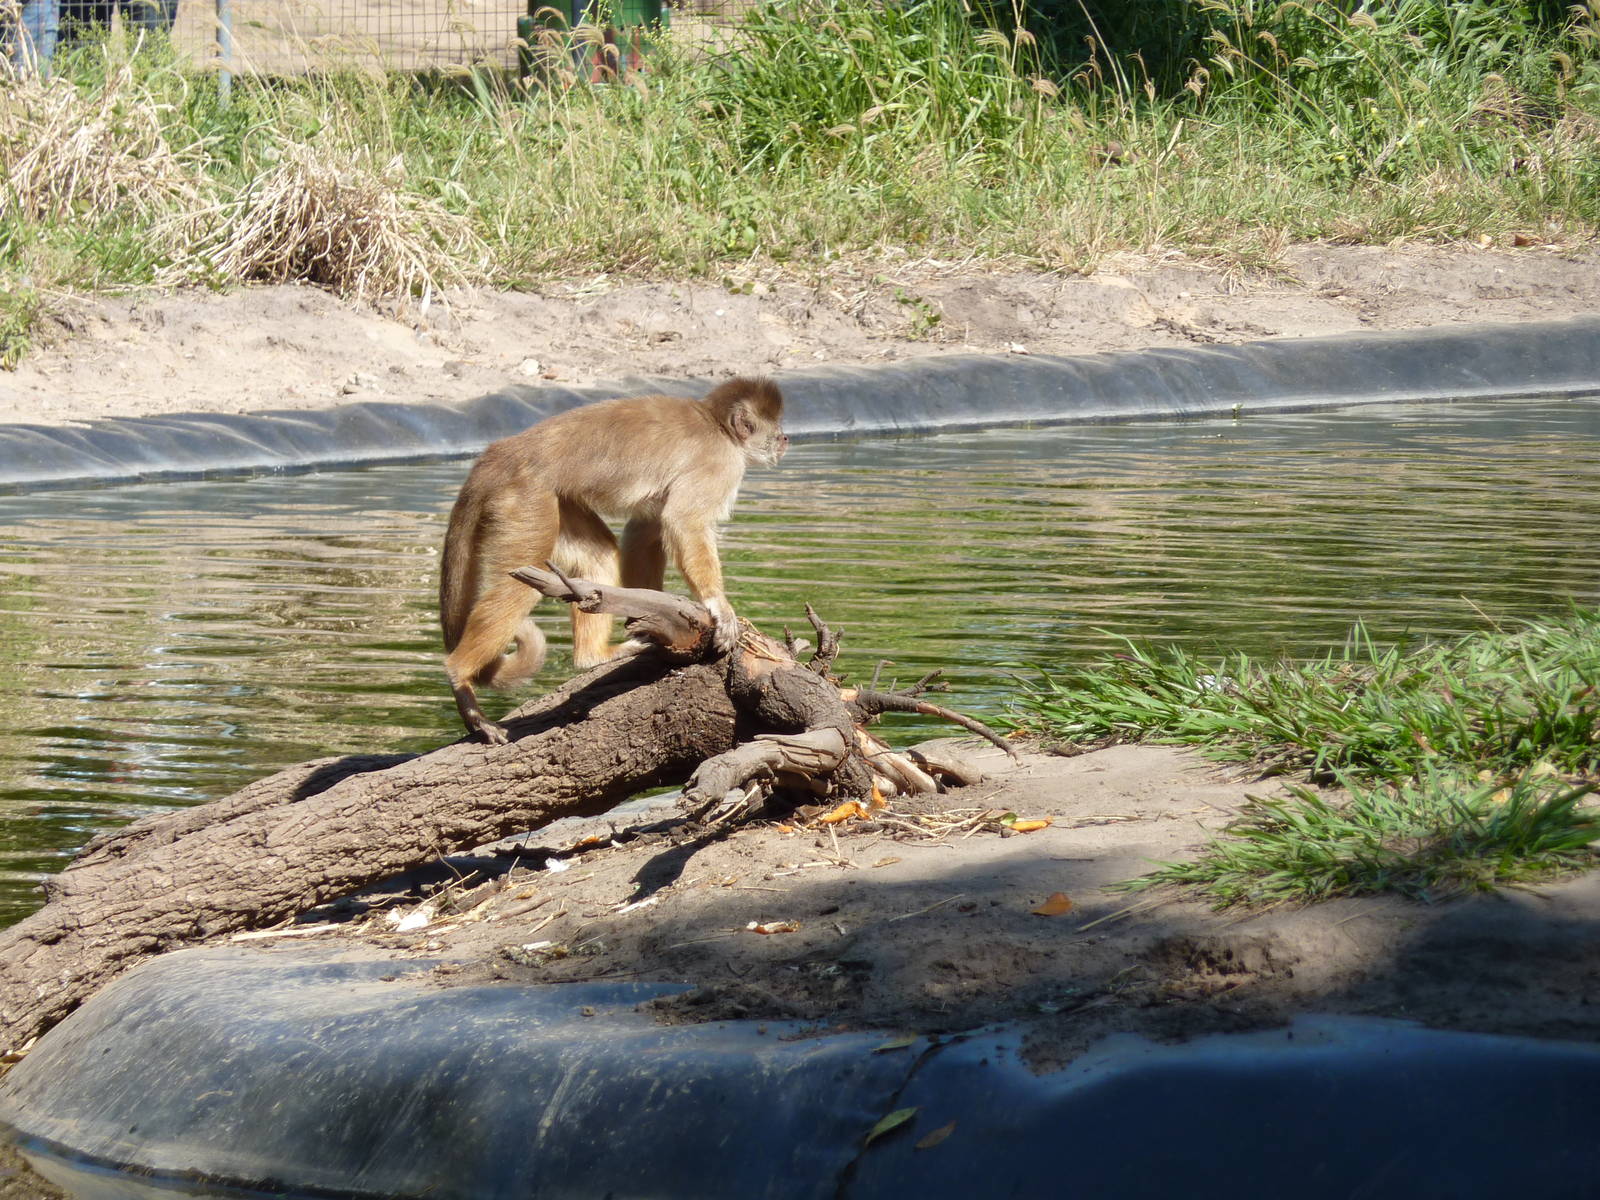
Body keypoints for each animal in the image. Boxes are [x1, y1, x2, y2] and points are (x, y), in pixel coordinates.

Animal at [438, 376, 788, 745]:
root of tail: (501, 451)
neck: (716, 424)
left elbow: (646, 529)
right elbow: (683, 521)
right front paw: (718, 606)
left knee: (601, 556)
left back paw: (592, 657)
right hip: (524, 495)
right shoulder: (721, 462)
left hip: (548, 498)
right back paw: (459, 676)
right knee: (521, 580)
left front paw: (651, 613)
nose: (785, 439)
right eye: (775, 429)